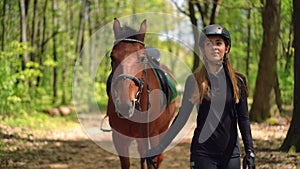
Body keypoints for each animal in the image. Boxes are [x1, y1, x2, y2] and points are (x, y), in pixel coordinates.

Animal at [105, 17, 177, 168]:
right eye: (112, 57)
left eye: (142, 58)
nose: (124, 104)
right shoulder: (119, 139)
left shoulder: (152, 136)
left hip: (162, 130)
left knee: (158, 157)